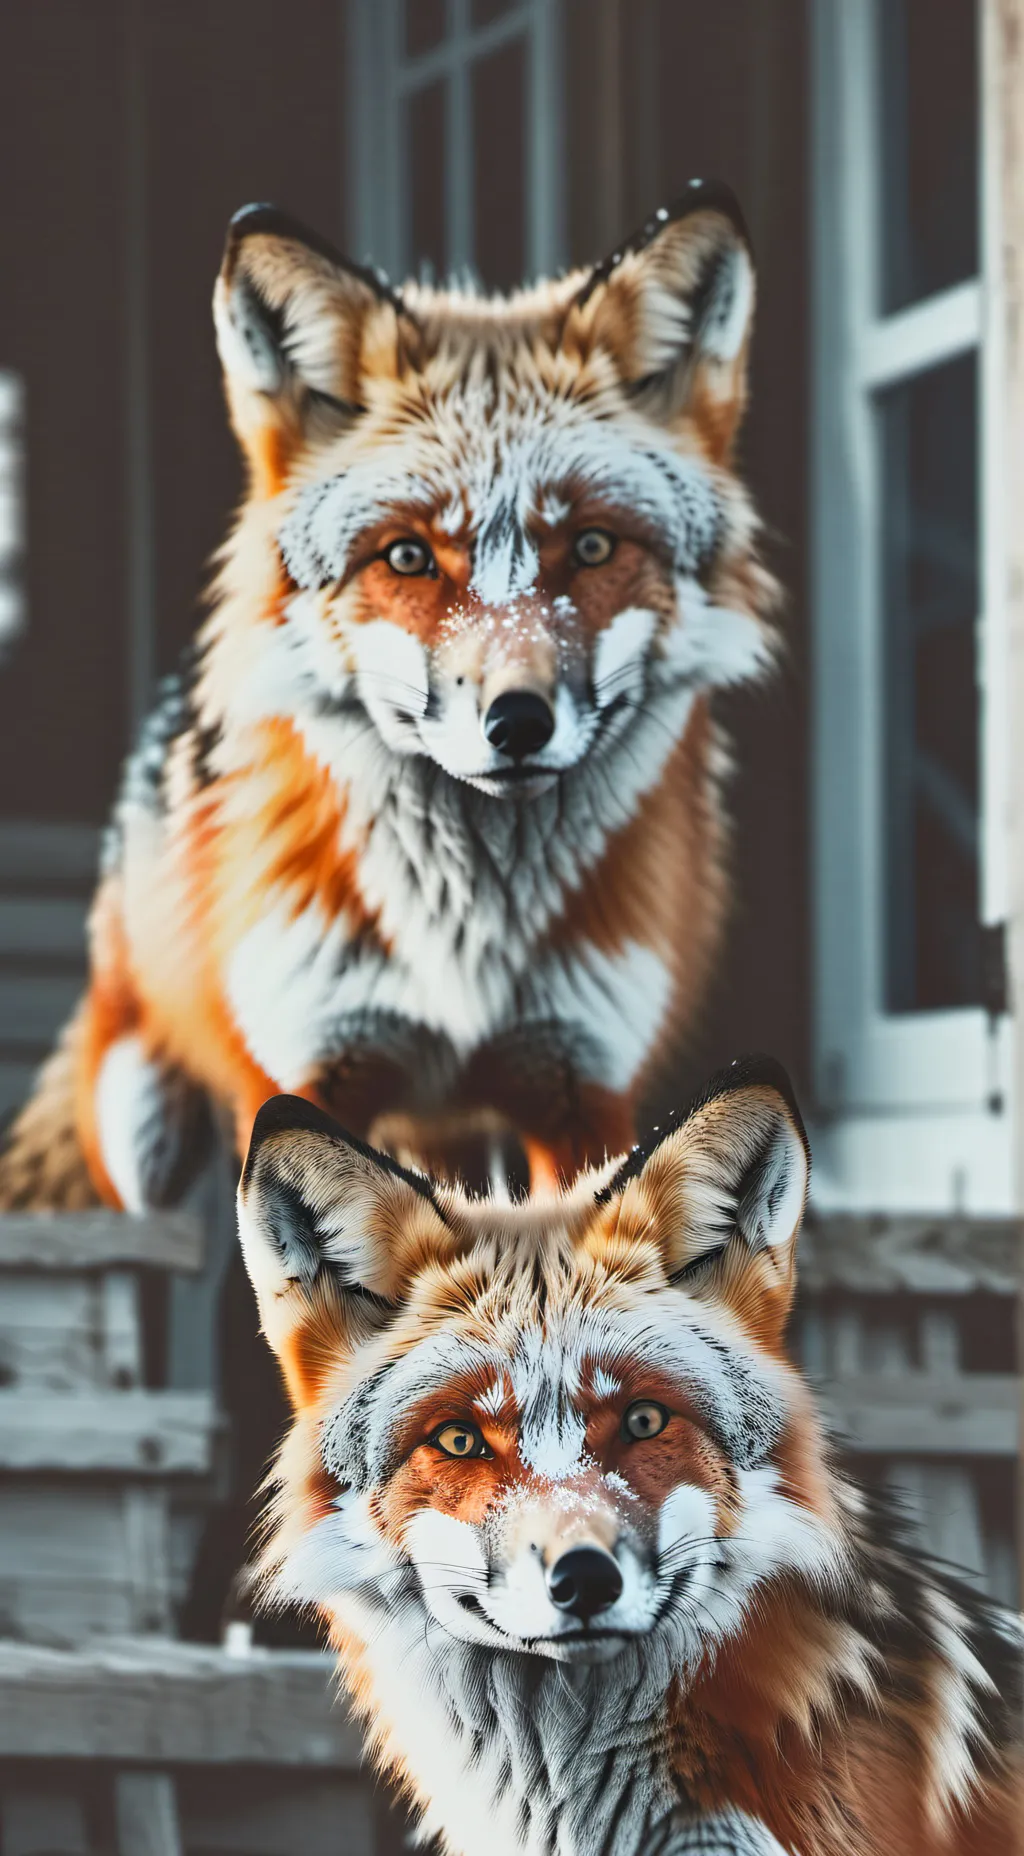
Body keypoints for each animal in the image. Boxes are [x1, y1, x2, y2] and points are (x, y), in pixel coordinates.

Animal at [0, 181, 778, 1212]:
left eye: (593, 546)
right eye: (408, 556)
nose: (518, 722)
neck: (464, 946)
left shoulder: (583, 1081)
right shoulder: (306, 1065)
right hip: (141, 1130)